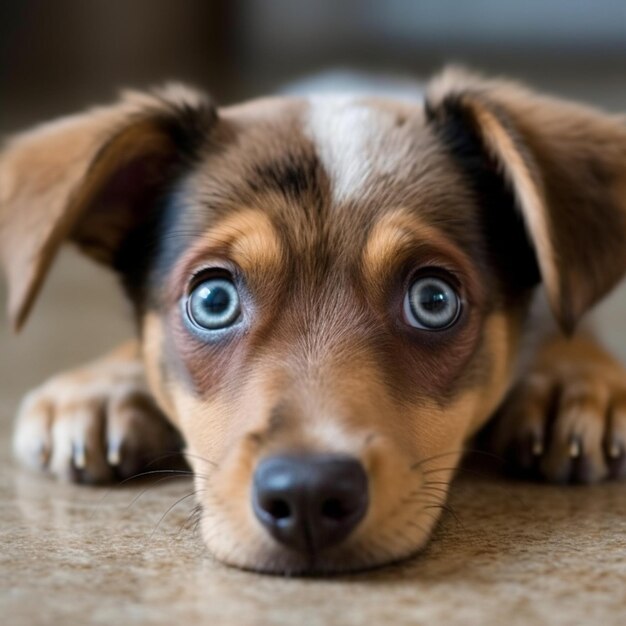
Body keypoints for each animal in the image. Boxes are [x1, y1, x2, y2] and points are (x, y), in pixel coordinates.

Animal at [1, 67, 624, 572]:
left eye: (434, 300)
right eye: (213, 301)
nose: (306, 496)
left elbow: (565, 319)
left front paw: (575, 380)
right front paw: (100, 387)